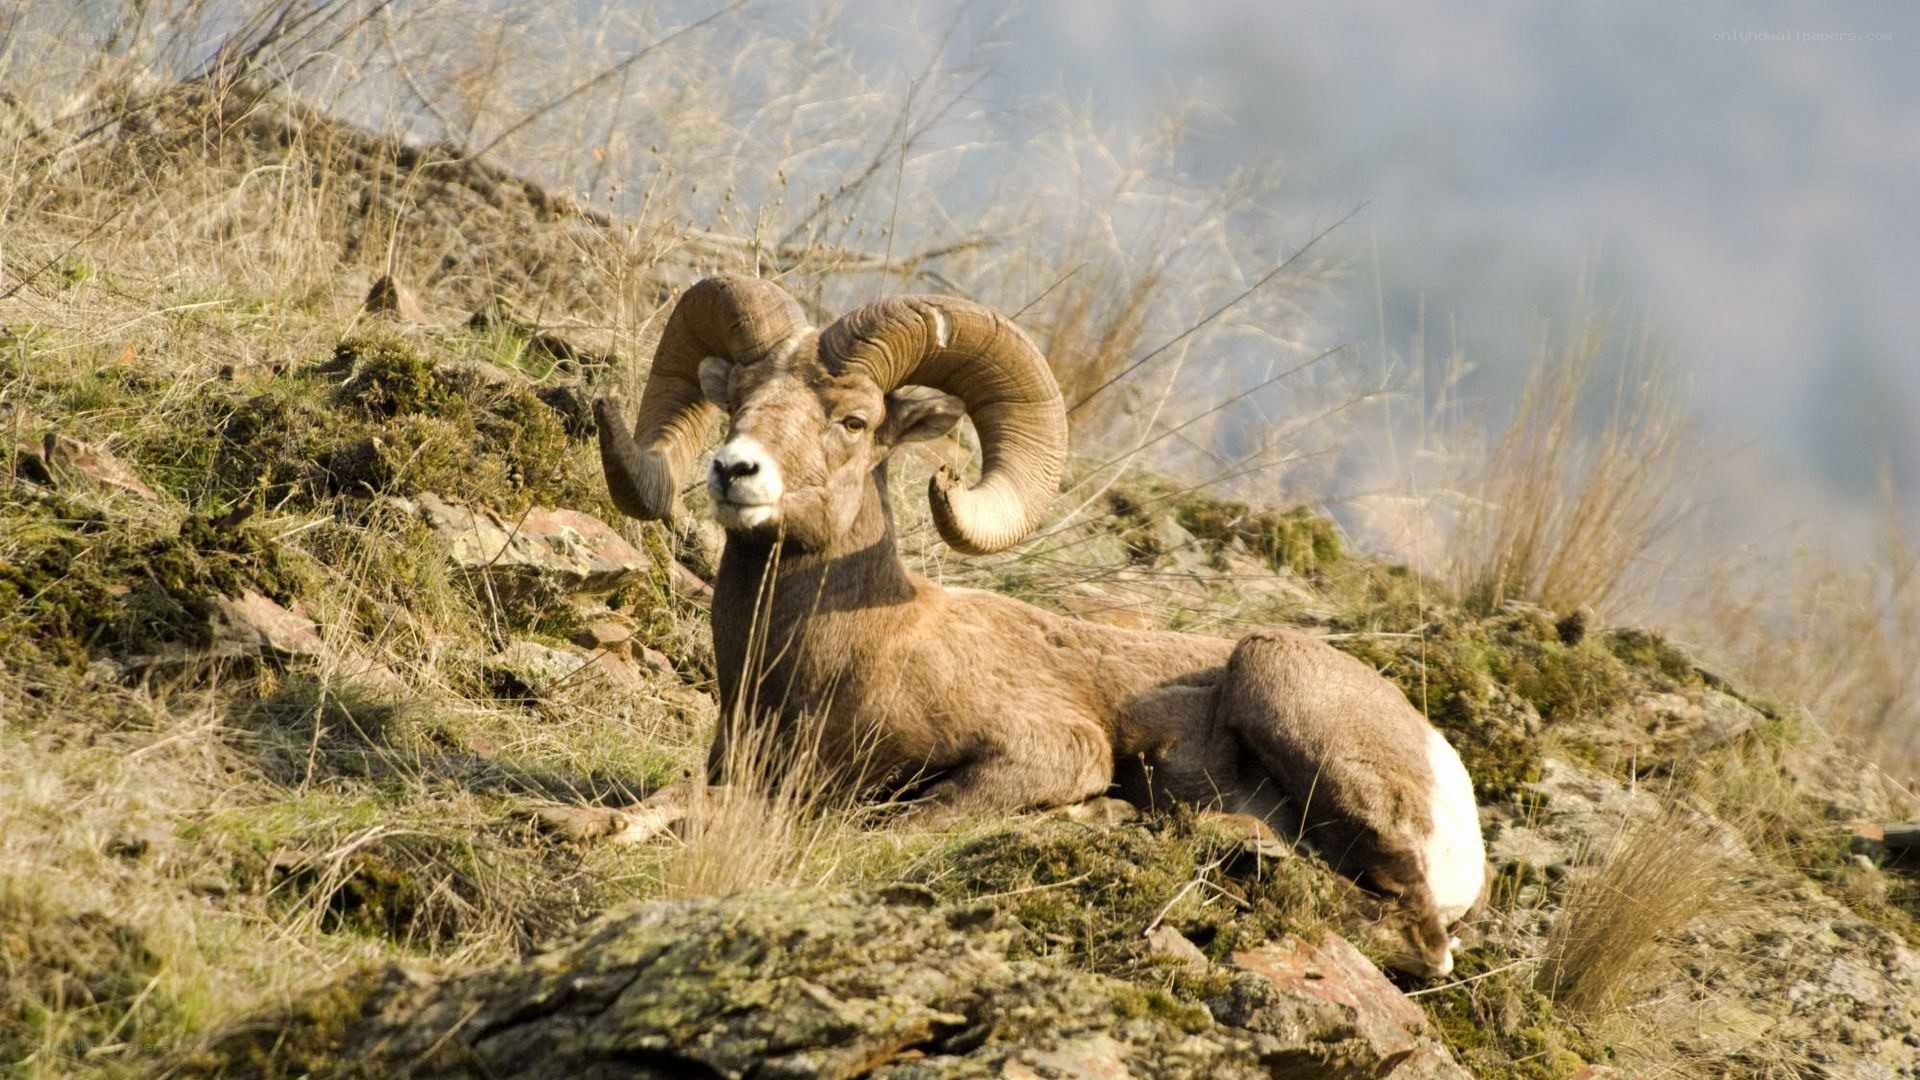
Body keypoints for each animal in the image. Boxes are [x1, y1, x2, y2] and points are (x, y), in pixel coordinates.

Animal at [575, 274, 1486, 976]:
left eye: (853, 421)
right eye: (734, 401)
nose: (735, 471)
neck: (844, 658)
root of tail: (1447, 775)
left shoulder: (1043, 751)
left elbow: (889, 820)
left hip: (1280, 683)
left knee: (1417, 933)